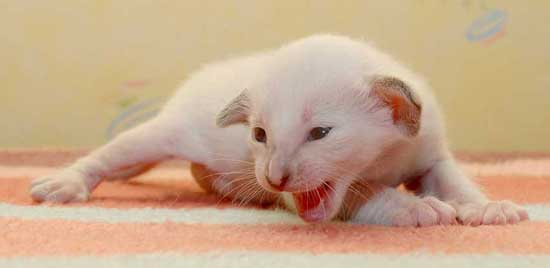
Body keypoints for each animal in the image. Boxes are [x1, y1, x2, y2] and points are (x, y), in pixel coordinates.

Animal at [31, 33, 532, 226]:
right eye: (259, 136)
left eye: (319, 133)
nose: (272, 178)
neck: (383, 158)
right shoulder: (308, 195)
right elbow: (362, 195)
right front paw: (415, 209)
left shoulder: (429, 152)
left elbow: (454, 180)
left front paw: (486, 208)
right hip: (165, 134)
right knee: (112, 156)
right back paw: (65, 182)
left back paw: (225, 187)